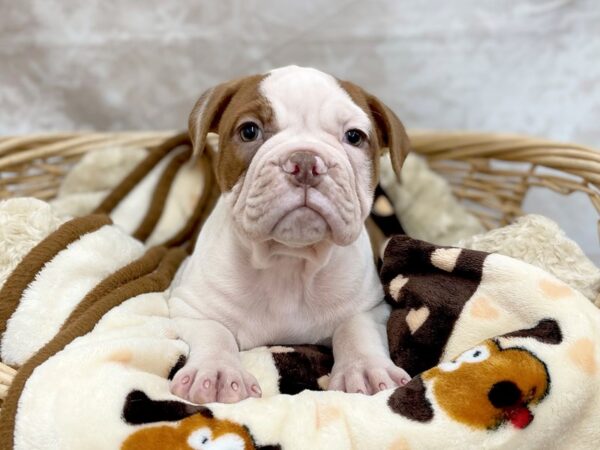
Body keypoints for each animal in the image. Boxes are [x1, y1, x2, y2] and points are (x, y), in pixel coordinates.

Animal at [169, 64, 412, 404]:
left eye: (354, 136)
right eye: (249, 131)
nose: (306, 162)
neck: (289, 259)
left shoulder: (369, 306)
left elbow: (356, 330)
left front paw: (365, 368)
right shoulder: (190, 306)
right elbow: (215, 332)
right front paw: (217, 372)